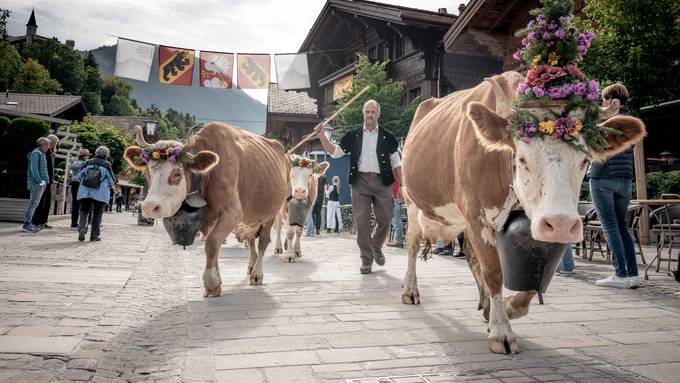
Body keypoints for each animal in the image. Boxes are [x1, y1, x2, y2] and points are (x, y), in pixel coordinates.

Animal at [125, 122, 290, 296]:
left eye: (177, 173)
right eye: (147, 172)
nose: (150, 207)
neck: (208, 176)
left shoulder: (232, 213)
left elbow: (211, 244)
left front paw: (211, 283)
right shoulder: (211, 217)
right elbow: (215, 246)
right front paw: (217, 281)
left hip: (271, 214)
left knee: (263, 242)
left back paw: (257, 274)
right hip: (252, 218)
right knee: (251, 240)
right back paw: (251, 266)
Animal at [402, 0, 644, 354]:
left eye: (585, 160)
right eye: (522, 158)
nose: (562, 223)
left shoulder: (529, 221)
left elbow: (532, 276)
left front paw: (509, 310)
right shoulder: (476, 212)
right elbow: (494, 271)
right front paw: (501, 332)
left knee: (470, 257)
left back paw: (486, 306)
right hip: (412, 203)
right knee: (411, 243)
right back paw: (410, 291)